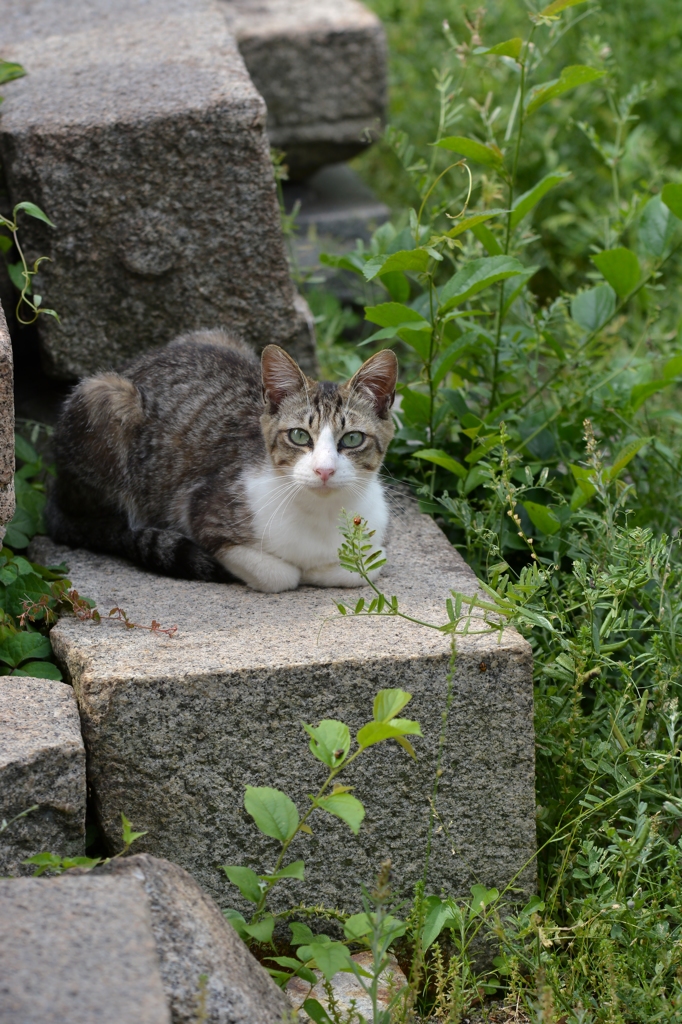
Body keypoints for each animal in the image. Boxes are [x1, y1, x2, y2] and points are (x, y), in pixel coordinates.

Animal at [46, 331, 399, 593]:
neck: (321, 513)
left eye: (352, 439)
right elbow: (277, 575)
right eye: (299, 436)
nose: (324, 470)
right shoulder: (197, 506)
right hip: (103, 398)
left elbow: (367, 565)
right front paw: (301, 572)